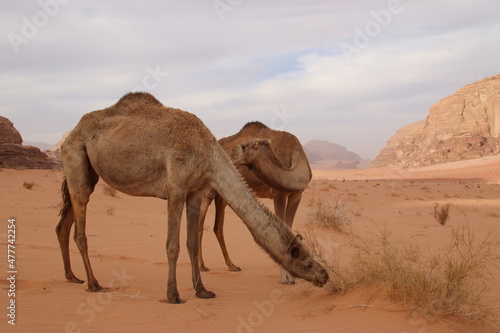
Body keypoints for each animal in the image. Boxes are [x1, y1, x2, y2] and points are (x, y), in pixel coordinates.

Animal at [196, 121, 312, 282]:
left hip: (222, 194)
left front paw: (291, 274)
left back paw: (232, 265)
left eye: (245, 146)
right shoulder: (278, 193)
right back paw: (202, 266)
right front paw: (285, 277)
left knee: (218, 226)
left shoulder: (297, 195)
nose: (231, 153)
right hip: (207, 188)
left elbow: (289, 226)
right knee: (200, 224)